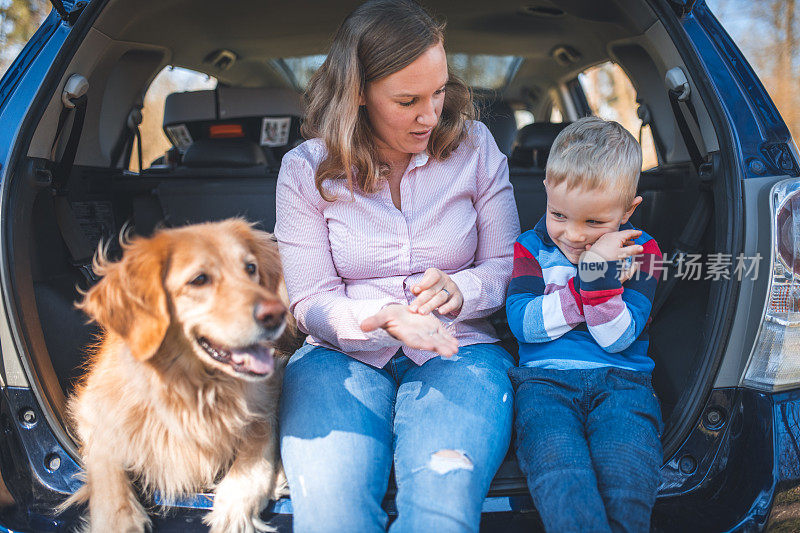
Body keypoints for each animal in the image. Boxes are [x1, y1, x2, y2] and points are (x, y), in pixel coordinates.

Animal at [57, 218, 294, 528]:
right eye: (199, 279)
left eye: (250, 268)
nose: (276, 313)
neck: (192, 387)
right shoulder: (91, 408)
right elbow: (105, 460)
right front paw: (119, 518)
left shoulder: (271, 384)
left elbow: (259, 435)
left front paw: (235, 504)